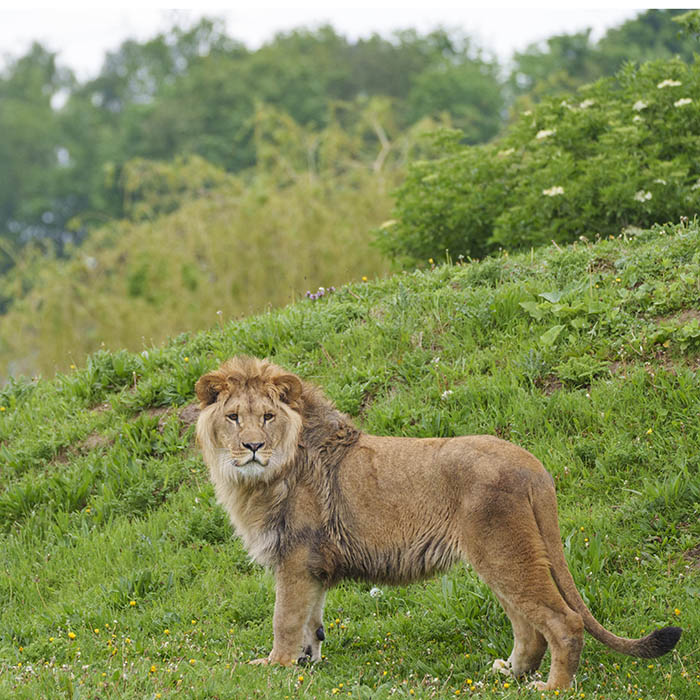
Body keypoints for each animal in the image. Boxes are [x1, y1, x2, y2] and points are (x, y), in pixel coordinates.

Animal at [194, 356, 680, 688]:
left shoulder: (296, 556)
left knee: (563, 622)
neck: (260, 478)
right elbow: (311, 619)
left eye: (268, 417)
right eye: (233, 417)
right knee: (529, 627)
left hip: (504, 554)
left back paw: (551, 687)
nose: (252, 446)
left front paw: (273, 666)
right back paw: (511, 674)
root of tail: (533, 466)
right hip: (503, 558)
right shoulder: (313, 565)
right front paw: (305, 662)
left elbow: (285, 617)